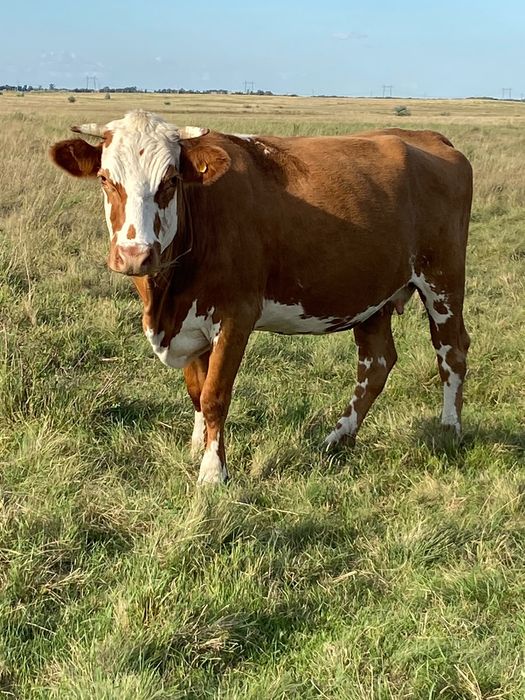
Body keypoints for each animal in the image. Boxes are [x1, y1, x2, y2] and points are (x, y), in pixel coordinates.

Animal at [50, 110, 472, 485]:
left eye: (170, 181)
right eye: (105, 179)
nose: (135, 255)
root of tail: (429, 137)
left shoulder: (236, 315)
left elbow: (215, 394)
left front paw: (213, 472)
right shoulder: (190, 320)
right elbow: (196, 390)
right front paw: (197, 446)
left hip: (443, 281)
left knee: (452, 352)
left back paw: (449, 429)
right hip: (373, 295)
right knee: (376, 364)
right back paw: (338, 438)